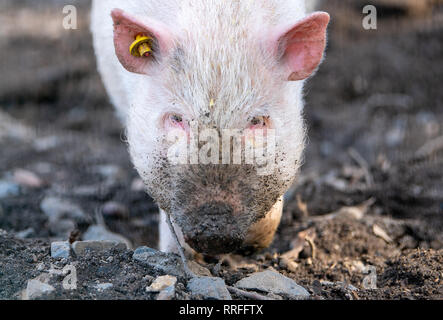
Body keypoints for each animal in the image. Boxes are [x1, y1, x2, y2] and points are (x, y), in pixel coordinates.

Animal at [91, 0, 330, 255]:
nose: (214, 233)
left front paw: (259, 242)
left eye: (257, 121)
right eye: (176, 118)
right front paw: (174, 252)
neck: (216, 20)